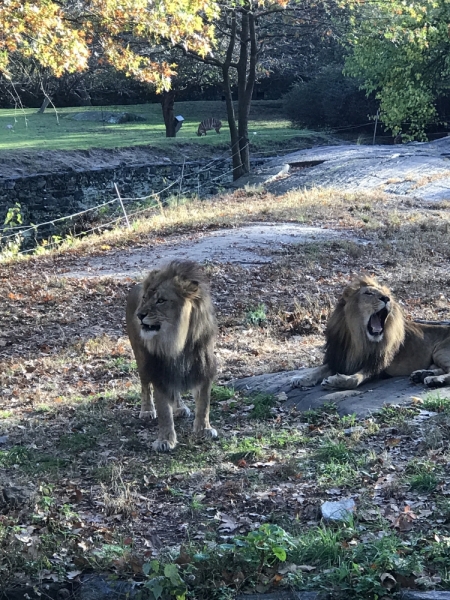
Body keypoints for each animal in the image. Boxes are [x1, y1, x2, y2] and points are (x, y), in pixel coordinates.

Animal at [126, 260, 218, 452]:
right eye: (145, 298)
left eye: (161, 300)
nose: (140, 315)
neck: (176, 342)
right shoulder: (159, 370)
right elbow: (164, 411)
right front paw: (165, 440)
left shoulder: (204, 367)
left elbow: (204, 403)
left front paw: (203, 429)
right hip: (142, 359)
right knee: (145, 386)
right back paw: (147, 410)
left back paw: (180, 408)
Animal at [292, 276, 450, 392]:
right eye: (368, 293)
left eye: (387, 295)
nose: (386, 298)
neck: (358, 339)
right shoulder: (340, 358)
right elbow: (319, 369)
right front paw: (302, 379)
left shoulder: (376, 365)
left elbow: (355, 379)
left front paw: (336, 381)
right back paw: (422, 374)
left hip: (440, 351)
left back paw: (434, 379)